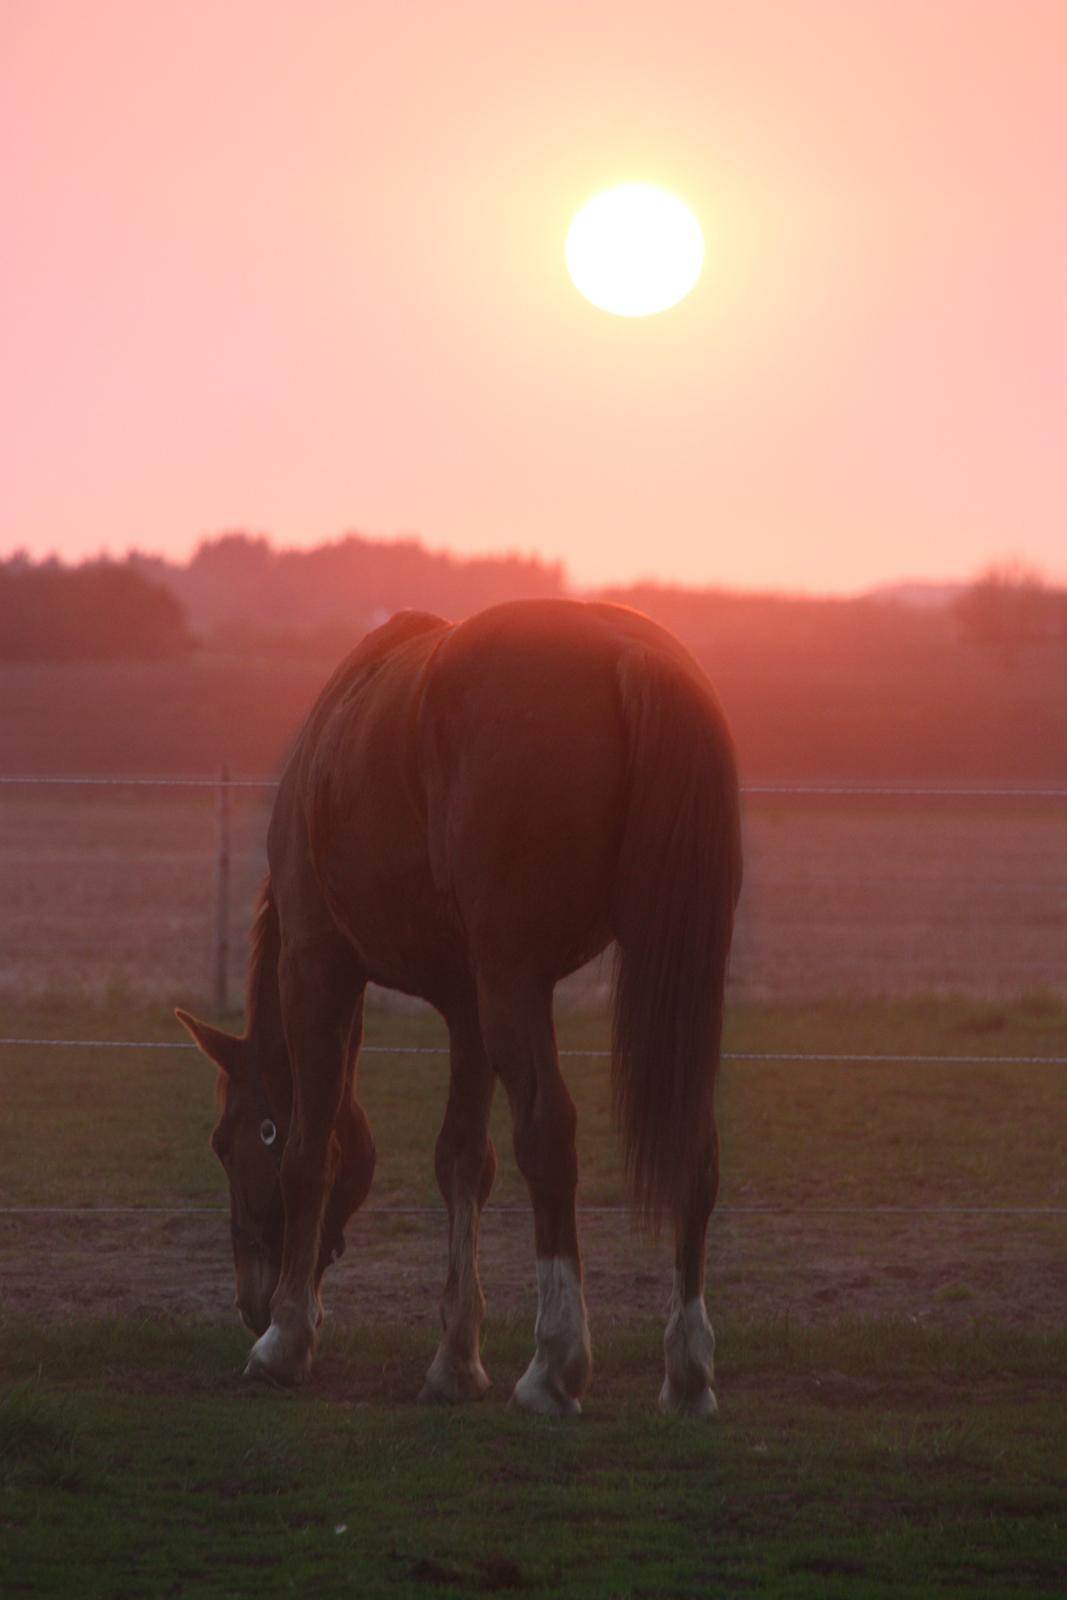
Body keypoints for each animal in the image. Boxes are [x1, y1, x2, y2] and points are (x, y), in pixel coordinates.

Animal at [177, 598, 742, 1414]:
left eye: (227, 1142)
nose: (250, 1303)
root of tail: (629, 652)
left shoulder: (317, 967)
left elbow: (311, 1151)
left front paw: (285, 1341)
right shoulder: (465, 1006)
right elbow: (463, 1162)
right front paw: (455, 1357)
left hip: (512, 986)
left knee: (549, 1136)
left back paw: (554, 1364)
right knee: (693, 1147)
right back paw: (688, 1372)